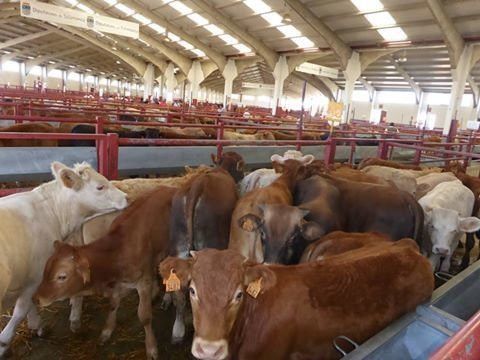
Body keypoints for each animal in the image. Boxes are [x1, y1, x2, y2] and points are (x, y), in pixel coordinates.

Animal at [0, 162, 127, 356]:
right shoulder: (35, 276)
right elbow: (20, 311)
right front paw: (6, 342)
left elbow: (27, 306)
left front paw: (36, 325)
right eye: (100, 186)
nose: (126, 198)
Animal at [34, 186, 176, 360]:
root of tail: (168, 188)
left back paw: (167, 297)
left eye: (61, 276)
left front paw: (151, 348)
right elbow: (113, 304)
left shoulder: (142, 282)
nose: (36, 298)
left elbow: (144, 316)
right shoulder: (119, 283)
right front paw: (106, 331)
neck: (119, 249)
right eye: (45, 269)